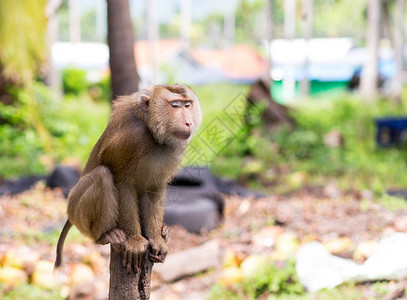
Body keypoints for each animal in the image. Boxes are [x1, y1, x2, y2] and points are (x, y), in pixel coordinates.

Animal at [55, 83, 202, 274]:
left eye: (188, 105)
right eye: (175, 106)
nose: (188, 122)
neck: (151, 130)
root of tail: (69, 214)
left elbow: (155, 187)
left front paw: (156, 239)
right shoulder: (132, 139)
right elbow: (122, 182)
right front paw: (135, 241)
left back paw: (163, 231)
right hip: (77, 212)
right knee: (102, 175)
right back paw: (106, 235)